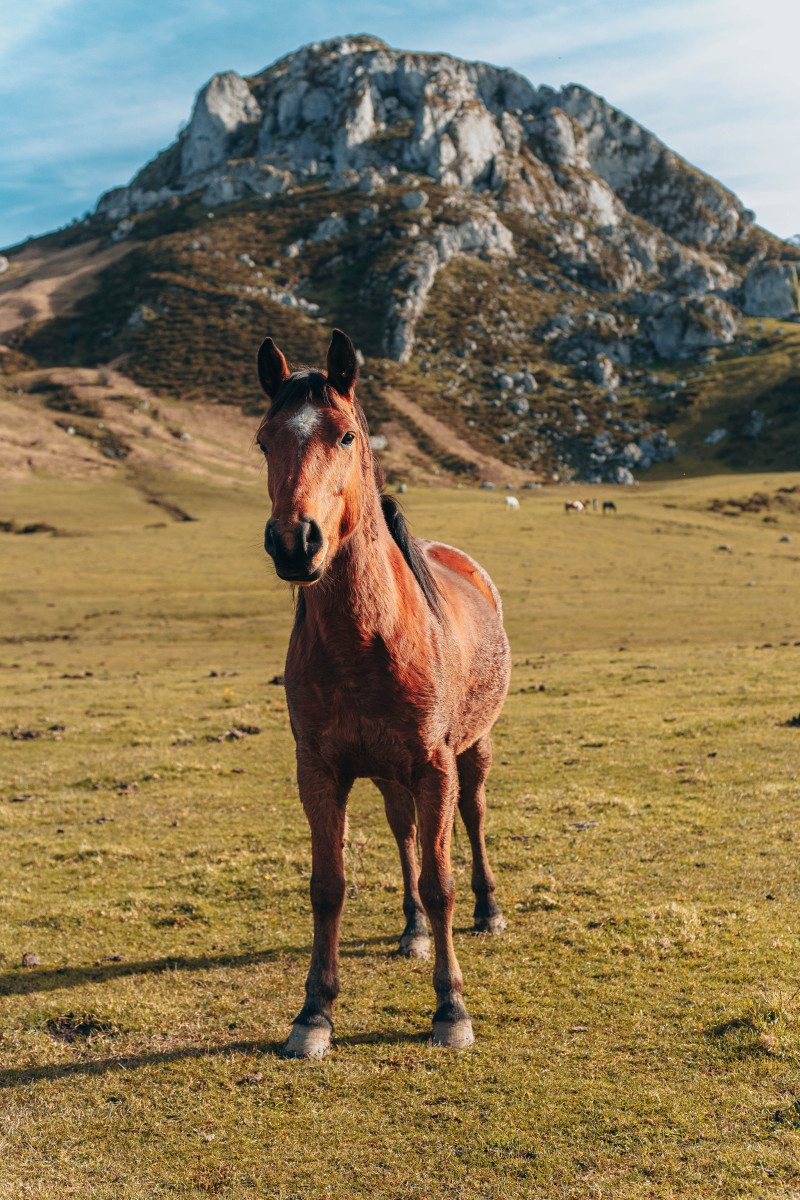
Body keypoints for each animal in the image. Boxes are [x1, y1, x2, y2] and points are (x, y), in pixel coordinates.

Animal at [256, 331, 513, 1060]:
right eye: (263, 440)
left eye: (344, 435)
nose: (295, 542)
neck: (363, 640)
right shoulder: (320, 770)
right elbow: (328, 886)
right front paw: (314, 1013)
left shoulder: (435, 765)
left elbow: (440, 880)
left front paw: (451, 1009)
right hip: (390, 772)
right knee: (404, 834)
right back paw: (411, 930)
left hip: (472, 749)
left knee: (473, 819)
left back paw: (488, 910)